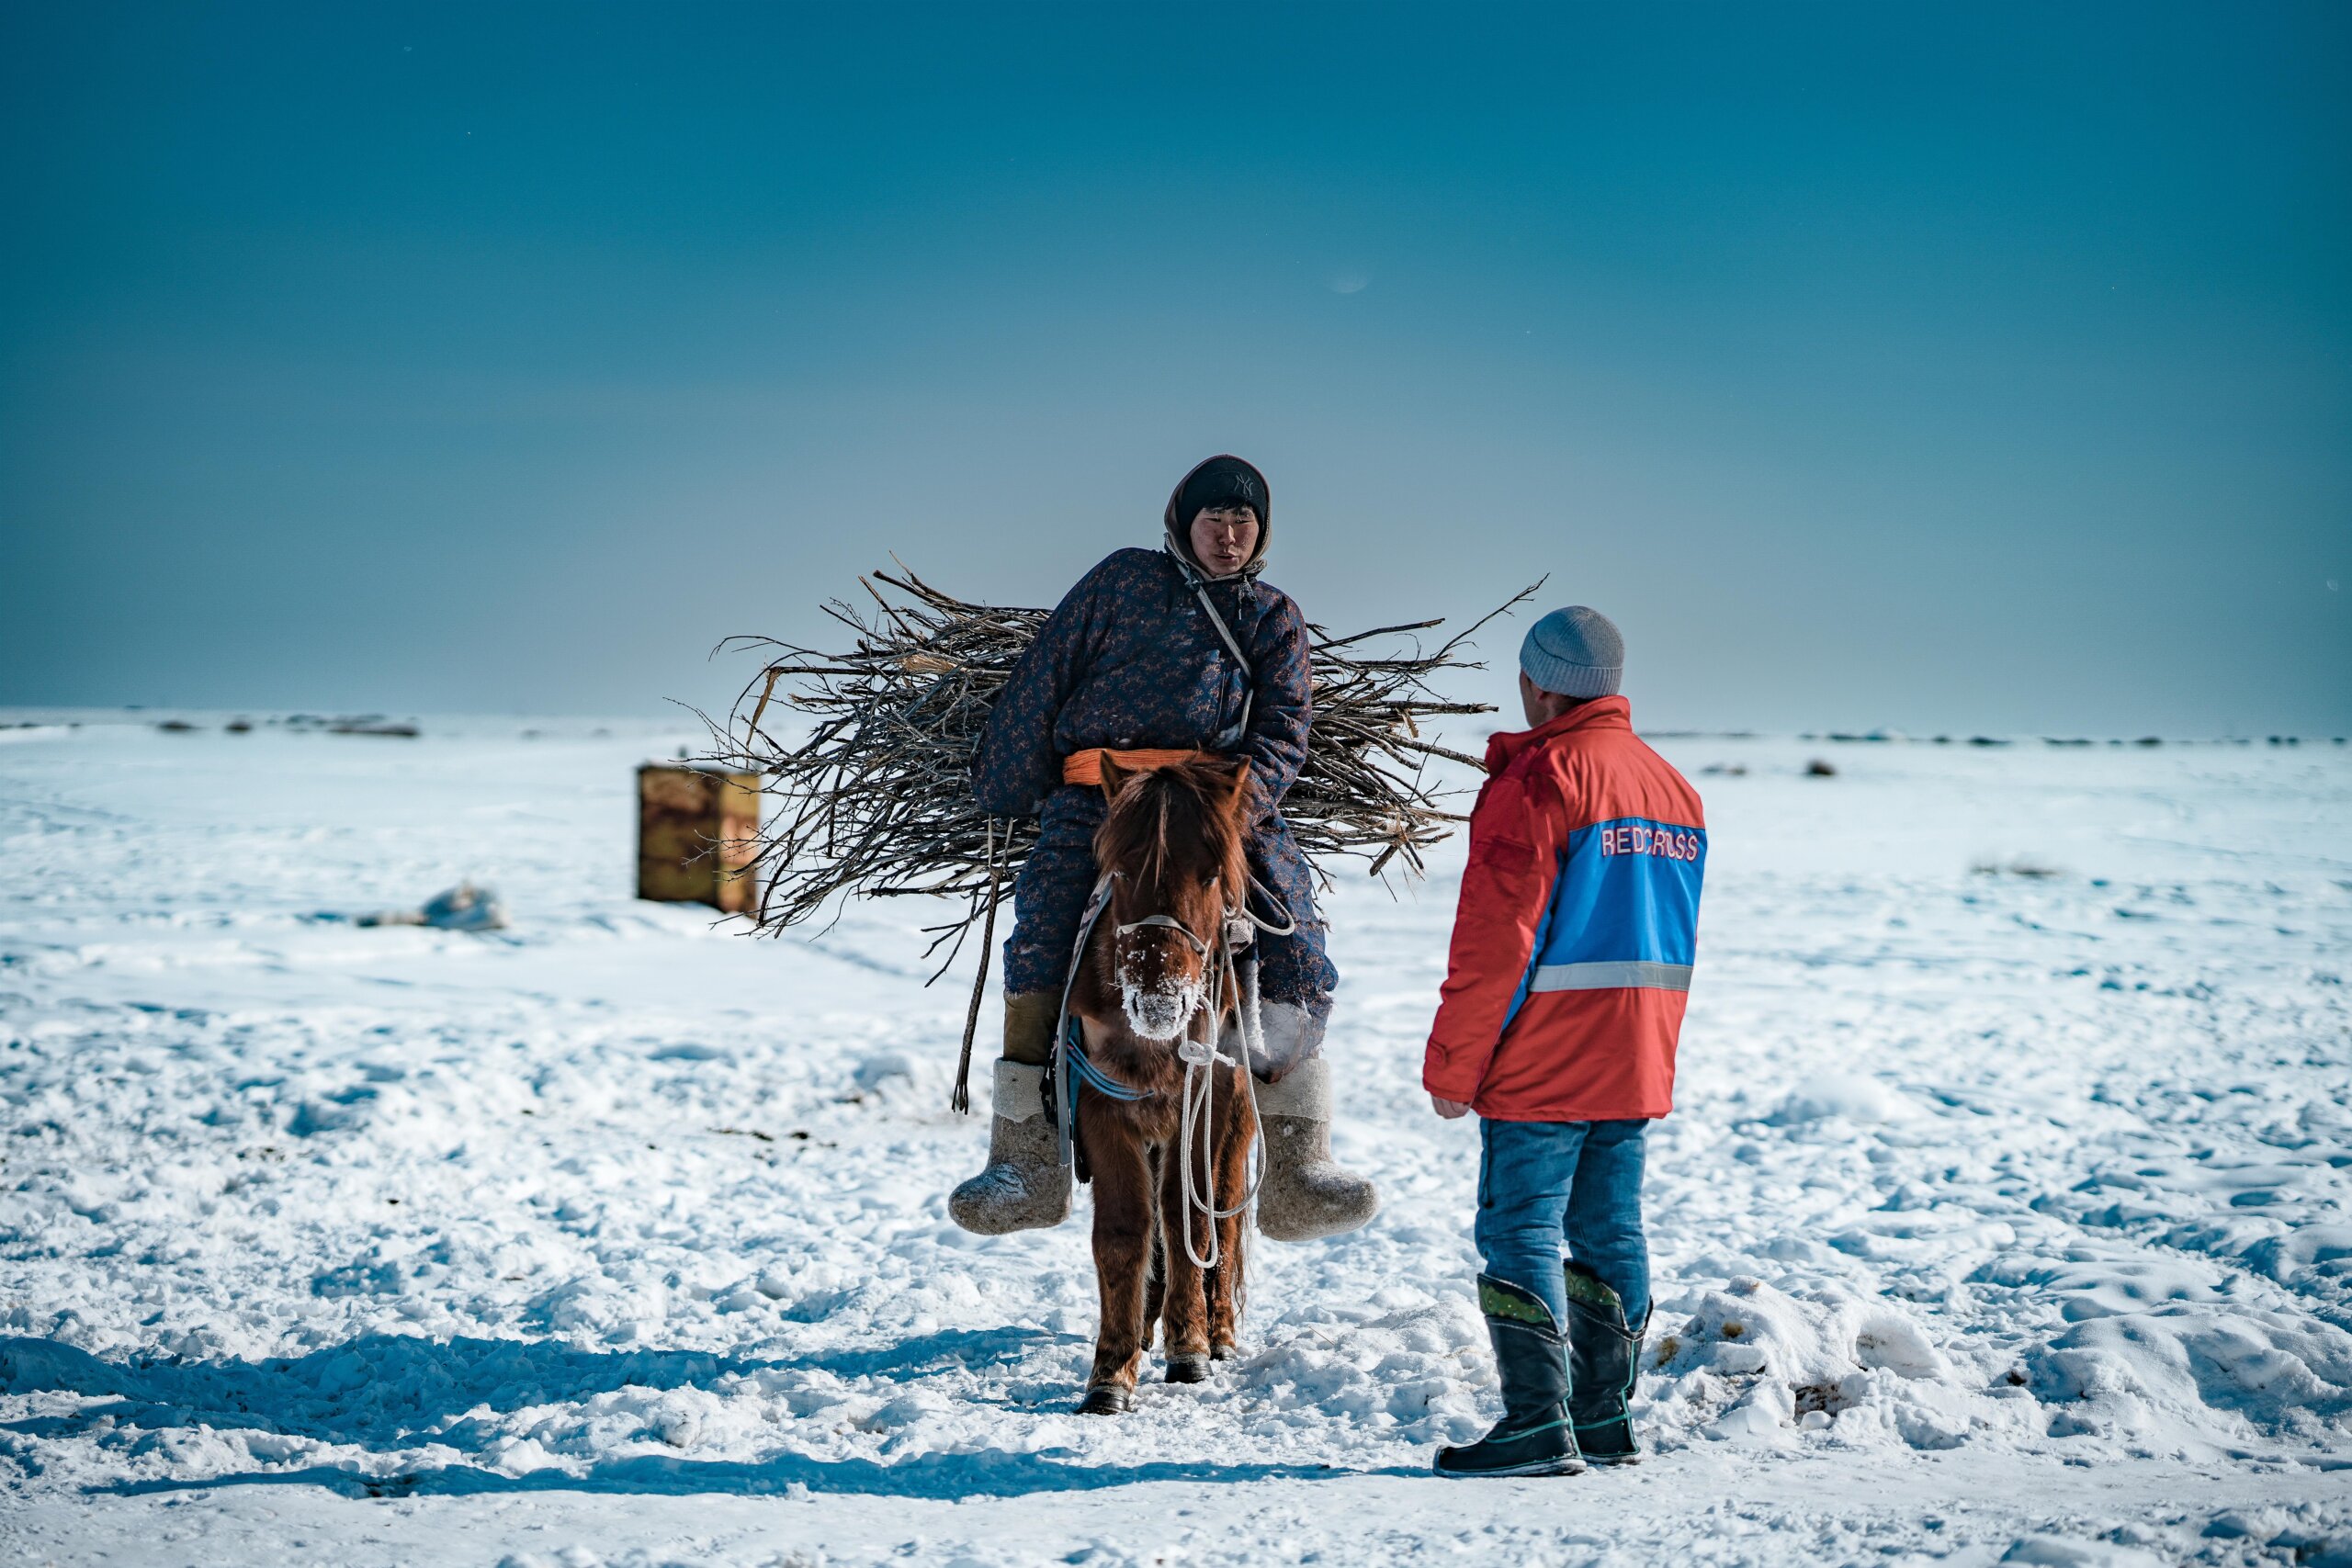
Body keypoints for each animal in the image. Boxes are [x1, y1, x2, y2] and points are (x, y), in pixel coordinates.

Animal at [1072, 751, 1270, 1419]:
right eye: (1120, 870)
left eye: (1211, 875)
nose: (1158, 1003)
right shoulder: (1105, 1111)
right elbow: (1124, 1233)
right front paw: (1112, 1371)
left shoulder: (1200, 1113)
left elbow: (1190, 1221)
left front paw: (1190, 1348)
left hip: (1233, 1126)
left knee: (1224, 1219)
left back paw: (1220, 1333)